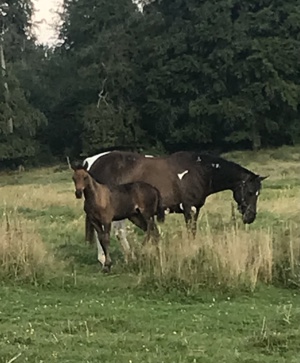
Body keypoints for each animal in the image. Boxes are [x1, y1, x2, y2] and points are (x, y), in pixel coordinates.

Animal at [81, 149, 268, 264]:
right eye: (250, 192)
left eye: (258, 193)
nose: (250, 217)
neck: (199, 170)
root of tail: (91, 162)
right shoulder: (189, 208)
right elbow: (191, 232)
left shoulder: (195, 208)